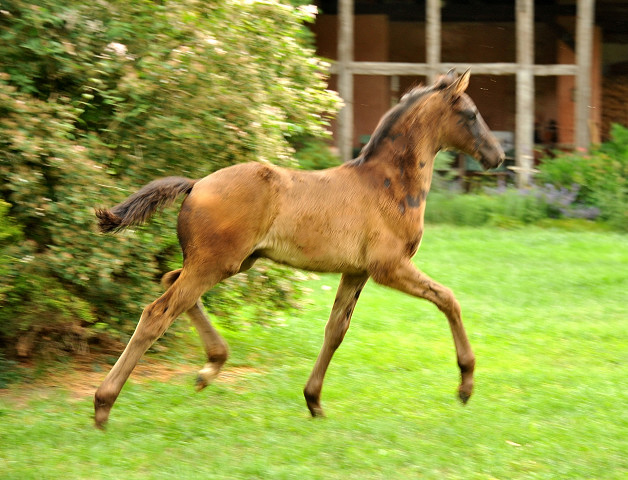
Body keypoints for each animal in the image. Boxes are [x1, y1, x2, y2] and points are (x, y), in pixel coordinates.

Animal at [93, 69, 506, 426]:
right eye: (471, 114)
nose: (497, 156)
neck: (387, 185)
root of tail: (195, 184)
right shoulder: (389, 267)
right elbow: (448, 299)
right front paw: (466, 384)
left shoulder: (355, 271)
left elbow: (336, 329)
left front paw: (314, 401)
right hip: (216, 263)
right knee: (157, 312)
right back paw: (103, 405)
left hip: (231, 262)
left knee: (170, 281)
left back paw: (210, 367)